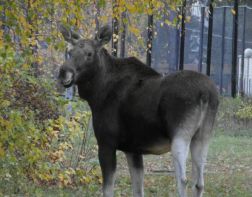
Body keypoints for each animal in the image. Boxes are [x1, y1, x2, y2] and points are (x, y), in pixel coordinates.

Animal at [58, 25, 219, 197]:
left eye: (89, 54)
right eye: (69, 52)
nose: (64, 72)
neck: (97, 92)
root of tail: (206, 94)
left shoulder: (106, 143)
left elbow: (108, 190)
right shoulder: (133, 149)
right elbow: (138, 189)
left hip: (180, 136)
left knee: (183, 180)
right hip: (202, 137)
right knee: (199, 183)